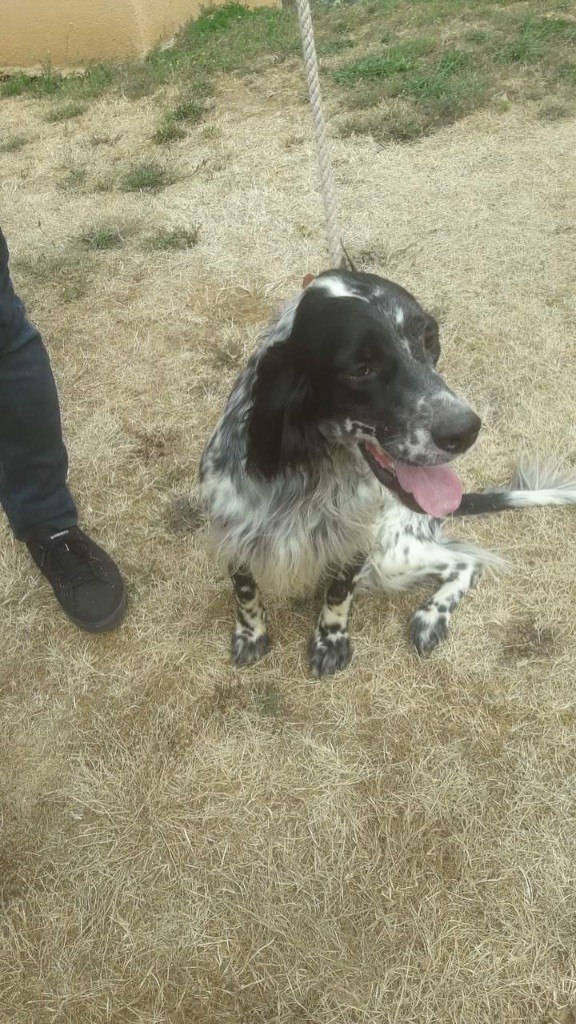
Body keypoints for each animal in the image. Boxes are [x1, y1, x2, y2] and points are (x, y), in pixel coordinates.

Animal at [198, 268, 573, 675]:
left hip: (392, 555)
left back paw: (431, 617)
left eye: (429, 339)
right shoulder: (234, 534)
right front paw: (251, 634)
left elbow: (339, 593)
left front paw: (331, 640)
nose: (466, 430)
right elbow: (246, 593)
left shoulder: (359, 540)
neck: (314, 468)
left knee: (468, 561)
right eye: (361, 369)